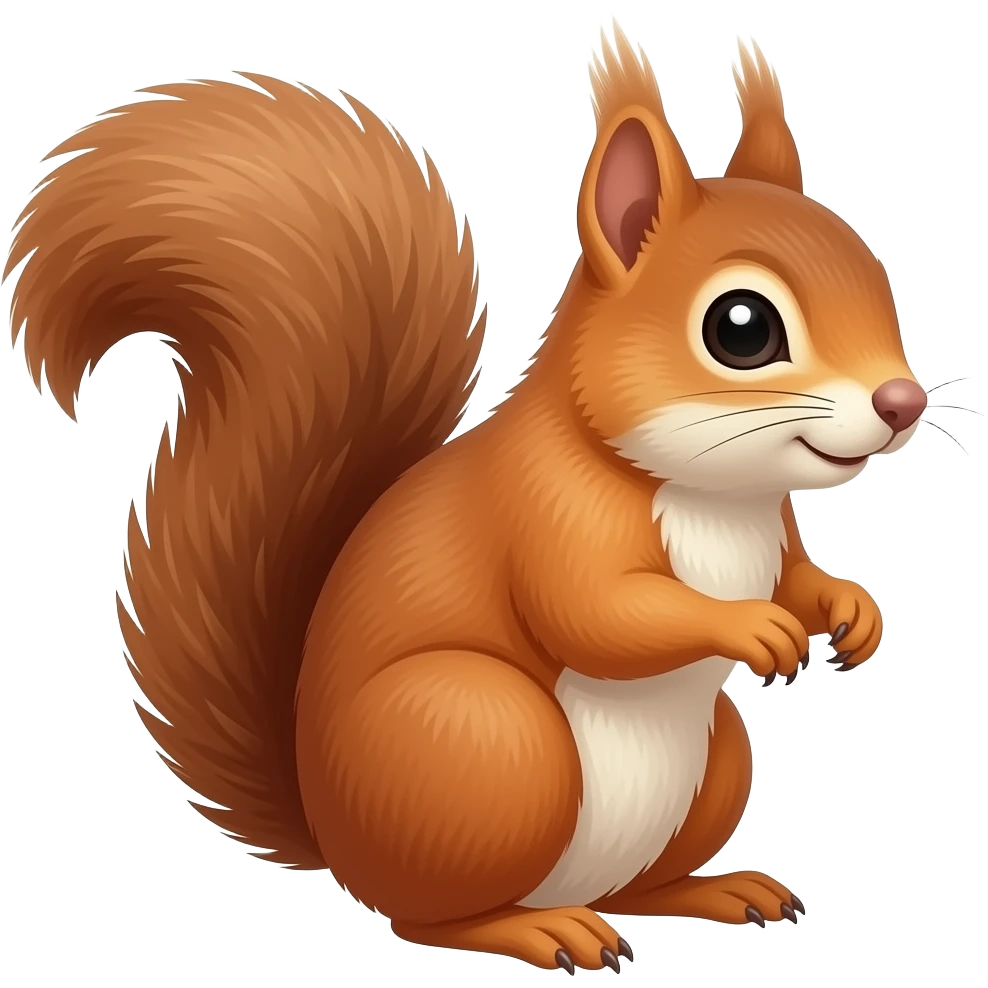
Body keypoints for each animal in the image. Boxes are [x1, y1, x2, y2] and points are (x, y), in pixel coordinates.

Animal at [6, 21, 921, 975]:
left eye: (878, 277)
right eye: (741, 328)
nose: (903, 402)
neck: (716, 495)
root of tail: (335, 840)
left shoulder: (772, 530)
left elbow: (797, 578)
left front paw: (851, 609)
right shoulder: (549, 513)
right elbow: (599, 613)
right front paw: (749, 627)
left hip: (714, 762)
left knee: (634, 887)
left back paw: (708, 890)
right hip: (487, 743)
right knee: (431, 916)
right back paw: (538, 929)